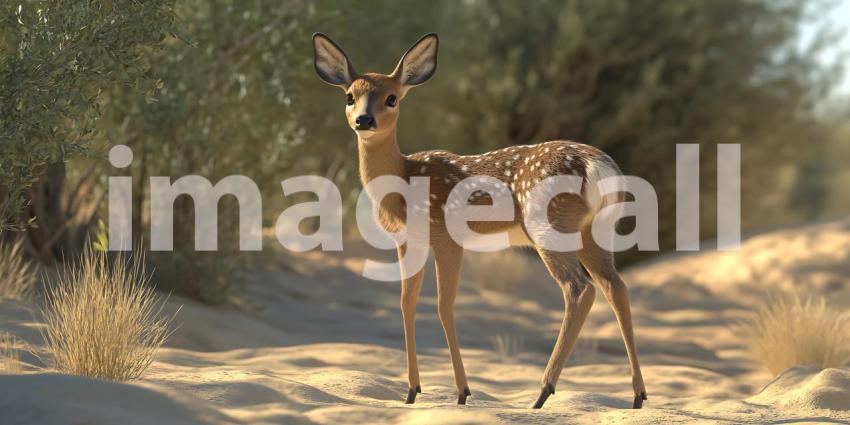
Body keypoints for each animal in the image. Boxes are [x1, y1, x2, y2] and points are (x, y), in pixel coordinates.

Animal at [312, 32, 647, 410]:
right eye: (350, 96)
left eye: (392, 98)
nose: (364, 120)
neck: (403, 177)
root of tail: (600, 167)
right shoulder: (408, 241)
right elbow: (406, 304)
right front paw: (411, 392)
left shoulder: (445, 235)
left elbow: (443, 306)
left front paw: (461, 392)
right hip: (595, 230)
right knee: (615, 286)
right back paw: (637, 395)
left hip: (548, 226)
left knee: (580, 289)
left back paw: (542, 392)